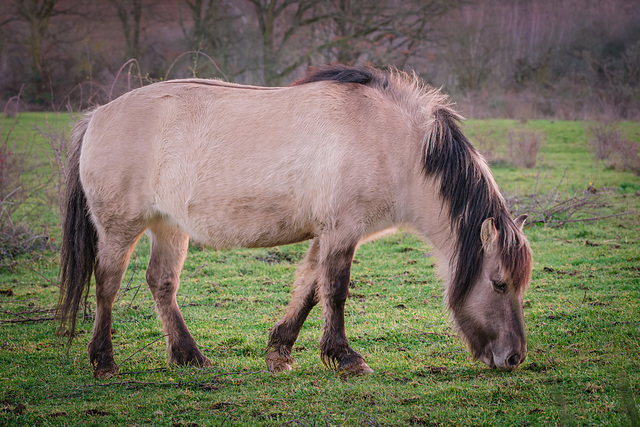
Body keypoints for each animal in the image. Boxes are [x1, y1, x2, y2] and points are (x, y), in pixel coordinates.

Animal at [57, 65, 532, 380]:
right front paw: (347, 358)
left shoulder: (327, 234)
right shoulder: (342, 231)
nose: (514, 358)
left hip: (167, 227)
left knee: (161, 283)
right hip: (120, 230)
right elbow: (334, 291)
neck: (394, 142)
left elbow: (308, 291)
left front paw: (279, 353)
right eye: (498, 284)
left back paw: (189, 356)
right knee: (107, 285)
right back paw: (104, 361)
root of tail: (98, 114)